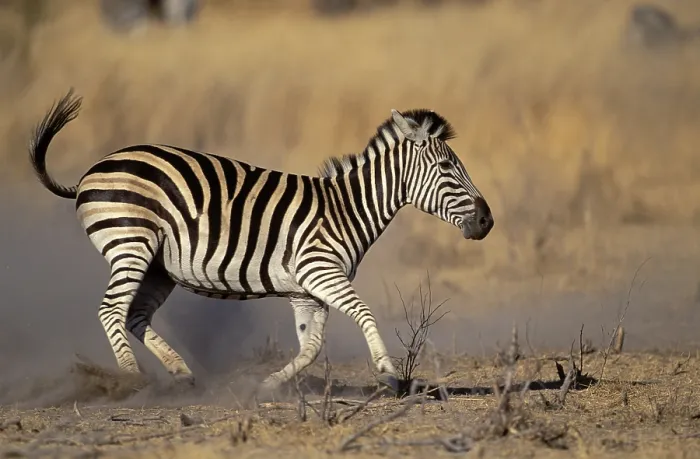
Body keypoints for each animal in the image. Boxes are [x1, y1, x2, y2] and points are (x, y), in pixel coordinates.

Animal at [28, 89, 494, 393]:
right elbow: (363, 312)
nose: (487, 222)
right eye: (448, 168)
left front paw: (270, 384)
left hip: (158, 266)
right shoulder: (320, 271)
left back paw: (180, 373)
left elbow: (312, 345)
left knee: (135, 316)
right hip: (131, 243)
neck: (346, 210)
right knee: (111, 309)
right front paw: (387, 370)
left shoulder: (308, 291)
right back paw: (131, 378)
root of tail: (92, 171)